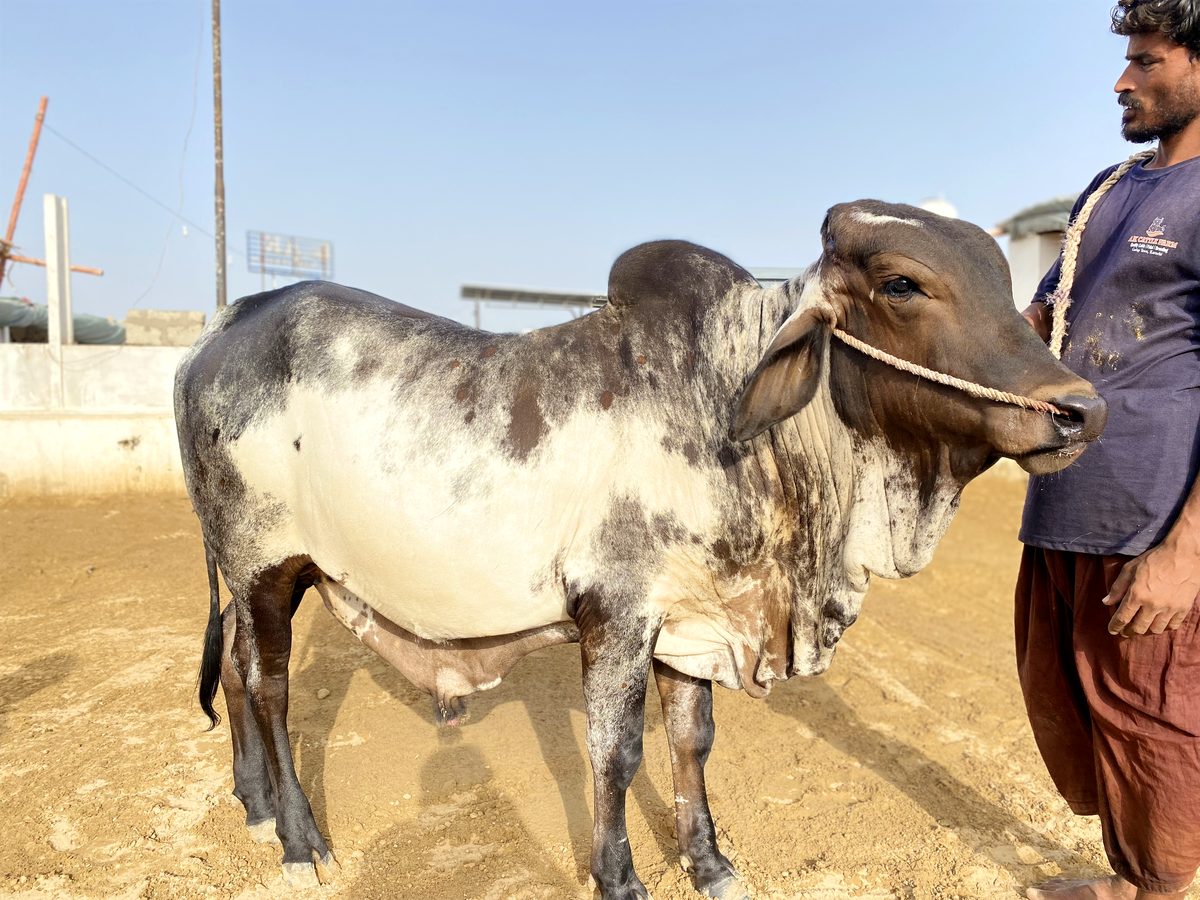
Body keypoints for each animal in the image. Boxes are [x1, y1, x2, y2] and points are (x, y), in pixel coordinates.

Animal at [174, 200, 1106, 899]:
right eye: (902, 284)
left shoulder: (696, 621)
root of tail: (224, 324)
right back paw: (300, 841)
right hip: (263, 565)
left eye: (1006, 281)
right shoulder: (618, 619)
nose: (1079, 411)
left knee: (237, 678)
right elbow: (616, 755)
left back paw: (255, 804)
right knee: (269, 690)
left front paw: (711, 862)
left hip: (263, 577)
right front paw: (619, 879)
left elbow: (691, 742)